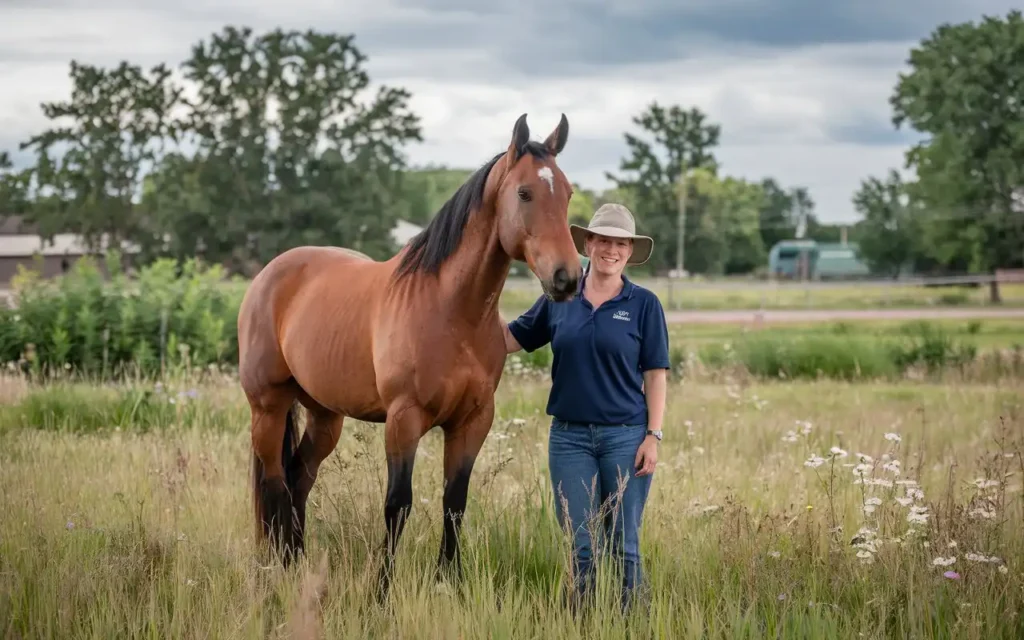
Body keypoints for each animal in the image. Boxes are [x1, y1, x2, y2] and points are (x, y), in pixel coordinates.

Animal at [234, 111, 581, 598]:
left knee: (300, 476)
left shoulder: (474, 421)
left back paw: (297, 562)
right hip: (268, 406)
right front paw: (381, 591)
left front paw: (450, 584)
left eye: (567, 194)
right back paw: (278, 567)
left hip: (325, 416)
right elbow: (398, 503)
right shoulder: (404, 419)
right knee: (274, 483)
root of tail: (269, 273)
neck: (451, 310)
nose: (567, 279)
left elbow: (455, 502)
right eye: (524, 192)